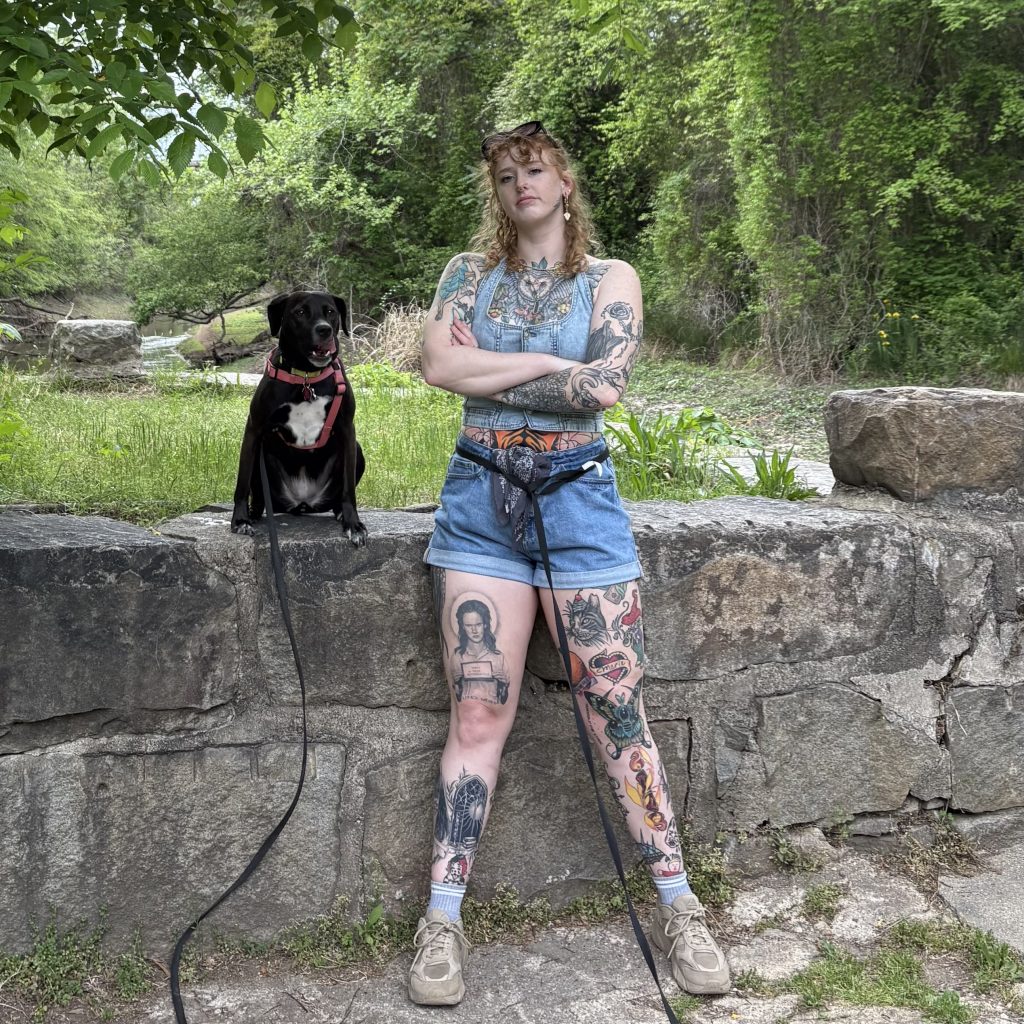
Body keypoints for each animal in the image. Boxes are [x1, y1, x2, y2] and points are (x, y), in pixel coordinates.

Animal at [230, 291, 367, 545]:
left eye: (331, 312)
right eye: (300, 312)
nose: (324, 330)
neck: (306, 377)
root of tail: (302, 504)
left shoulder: (347, 429)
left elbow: (349, 489)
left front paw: (353, 524)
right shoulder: (254, 430)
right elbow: (241, 484)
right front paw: (240, 520)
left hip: (357, 450)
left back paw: (339, 512)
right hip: (261, 454)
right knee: (258, 495)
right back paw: (253, 514)